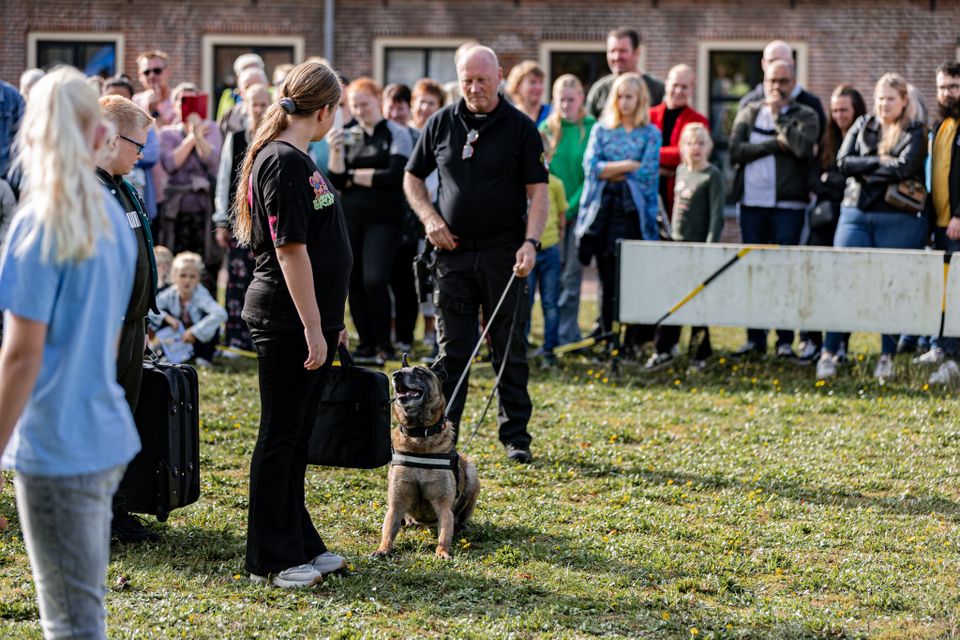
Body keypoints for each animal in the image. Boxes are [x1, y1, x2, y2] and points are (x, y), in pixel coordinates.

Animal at [374, 358, 480, 556]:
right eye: (400, 370)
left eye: (420, 372)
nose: (396, 375)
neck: (419, 435)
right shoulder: (396, 504)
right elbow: (388, 530)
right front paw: (383, 549)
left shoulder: (444, 507)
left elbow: (445, 533)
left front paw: (442, 552)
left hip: (471, 470)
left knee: (460, 517)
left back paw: (462, 526)